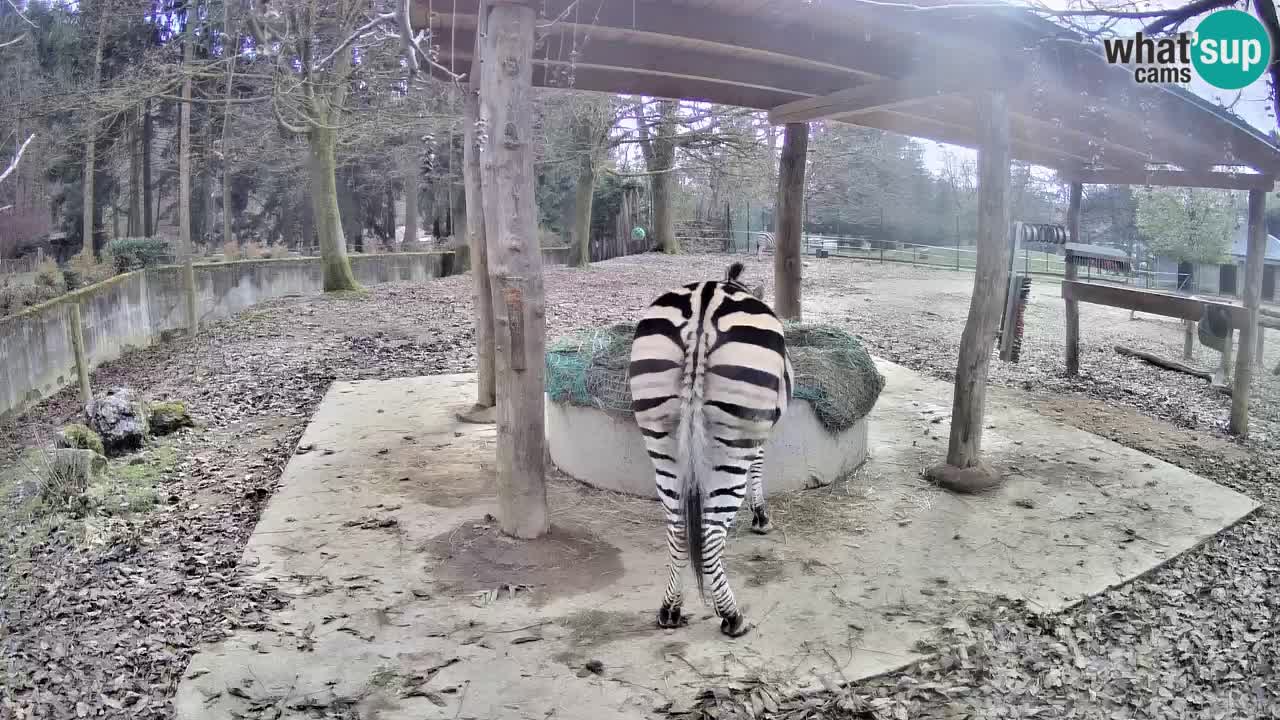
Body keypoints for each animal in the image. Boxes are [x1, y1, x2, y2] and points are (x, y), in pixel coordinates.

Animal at [627, 260, 793, 635]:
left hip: (661, 436)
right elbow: (758, 468)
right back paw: (732, 616)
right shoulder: (761, 430)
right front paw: (761, 516)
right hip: (734, 440)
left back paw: (670, 610)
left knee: (677, 529)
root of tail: (702, 309)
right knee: (711, 532)